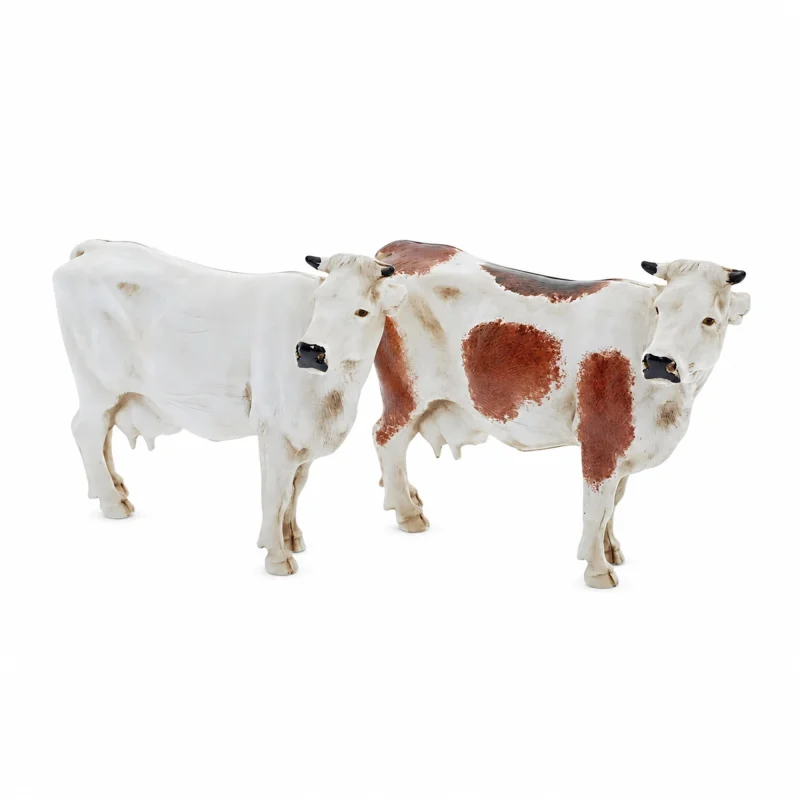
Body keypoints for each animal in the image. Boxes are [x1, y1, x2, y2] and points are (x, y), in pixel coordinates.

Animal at [53, 240, 407, 575]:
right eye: (319, 301)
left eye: (362, 312)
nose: (309, 351)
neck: (333, 396)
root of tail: (97, 247)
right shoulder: (275, 434)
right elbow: (275, 494)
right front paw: (277, 555)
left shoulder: (304, 440)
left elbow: (294, 490)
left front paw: (292, 537)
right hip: (98, 387)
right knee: (86, 431)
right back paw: (113, 502)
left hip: (114, 395)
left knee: (104, 435)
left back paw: (116, 488)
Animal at [369, 240, 751, 588]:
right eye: (660, 309)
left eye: (709, 320)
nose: (658, 362)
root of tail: (401, 248)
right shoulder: (601, 441)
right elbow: (597, 509)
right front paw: (597, 569)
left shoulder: (627, 448)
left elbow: (614, 502)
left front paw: (610, 550)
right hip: (406, 392)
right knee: (386, 438)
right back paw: (408, 514)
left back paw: (407, 496)